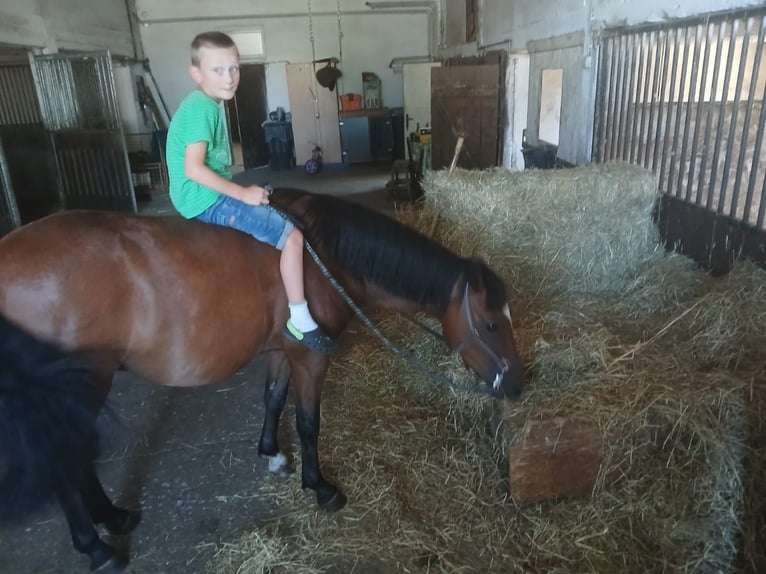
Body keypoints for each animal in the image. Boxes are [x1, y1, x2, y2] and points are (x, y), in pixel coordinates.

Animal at [0, 187, 525, 572]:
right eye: (490, 324)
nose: (519, 385)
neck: (322, 256)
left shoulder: (279, 352)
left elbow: (273, 399)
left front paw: (272, 453)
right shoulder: (309, 359)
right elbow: (309, 422)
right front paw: (320, 487)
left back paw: (113, 517)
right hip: (84, 382)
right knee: (65, 459)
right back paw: (98, 548)